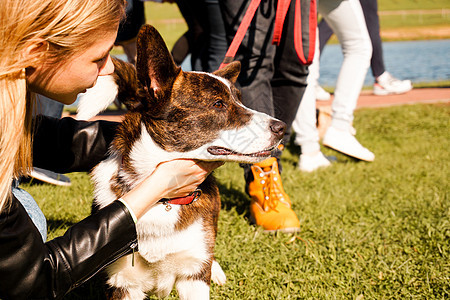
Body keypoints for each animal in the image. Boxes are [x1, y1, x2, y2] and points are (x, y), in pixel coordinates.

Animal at [75, 25, 284, 300]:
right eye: (218, 104)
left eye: (240, 100)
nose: (282, 128)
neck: (163, 200)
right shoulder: (123, 283)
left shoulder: (193, 276)